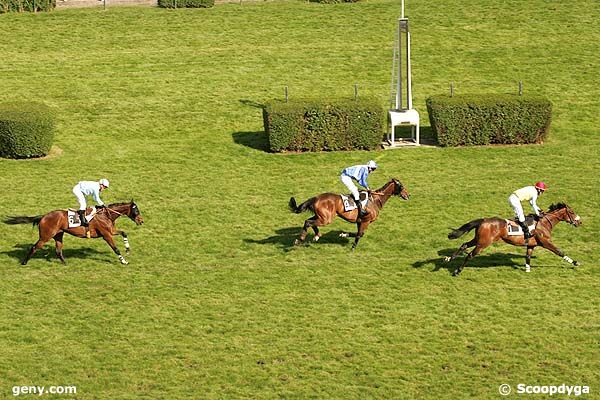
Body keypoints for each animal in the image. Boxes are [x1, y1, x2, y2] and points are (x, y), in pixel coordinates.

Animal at [5, 200, 143, 266]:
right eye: (136, 210)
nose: (141, 221)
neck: (106, 215)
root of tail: (43, 216)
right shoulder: (106, 235)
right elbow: (115, 249)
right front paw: (124, 261)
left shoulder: (111, 231)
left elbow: (124, 233)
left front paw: (128, 249)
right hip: (45, 236)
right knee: (34, 247)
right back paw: (24, 262)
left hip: (58, 235)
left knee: (58, 250)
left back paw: (65, 263)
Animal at [446, 203, 580, 276]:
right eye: (572, 212)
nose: (580, 222)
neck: (544, 223)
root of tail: (483, 220)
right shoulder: (545, 242)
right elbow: (559, 251)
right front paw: (575, 262)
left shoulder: (531, 245)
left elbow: (528, 257)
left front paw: (527, 270)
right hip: (483, 243)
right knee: (470, 255)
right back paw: (457, 271)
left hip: (478, 239)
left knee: (464, 245)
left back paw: (448, 258)